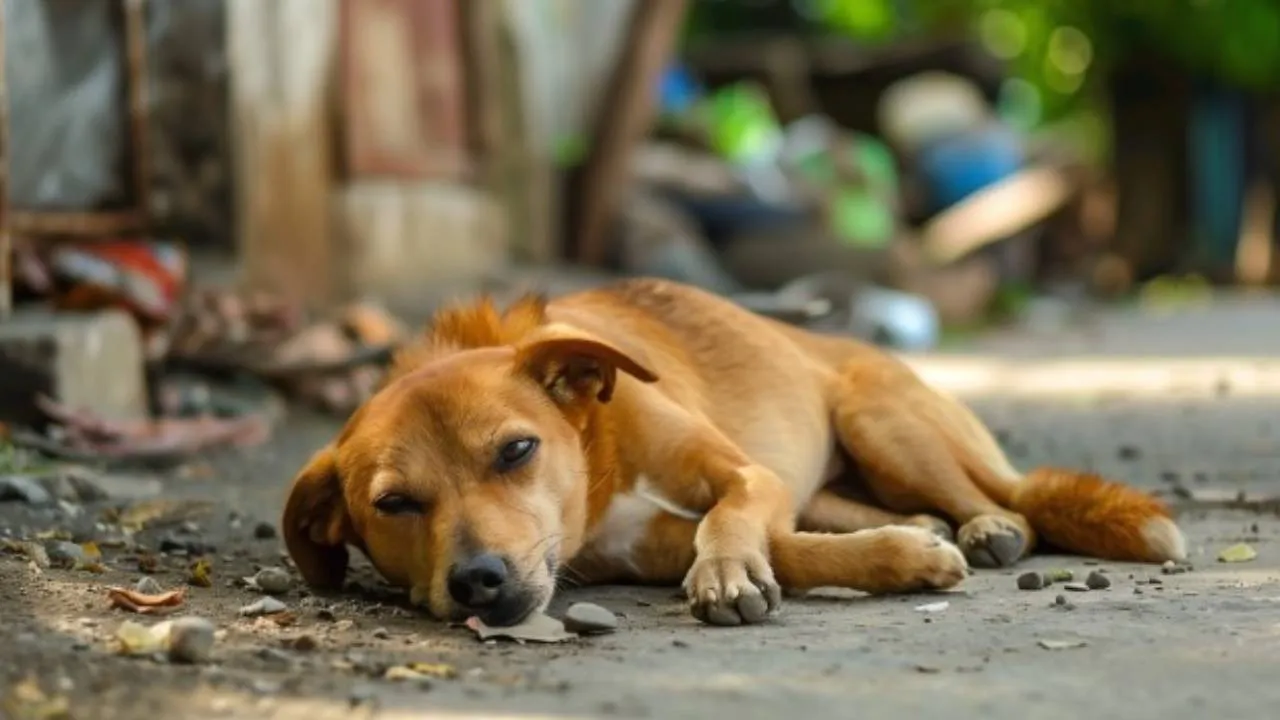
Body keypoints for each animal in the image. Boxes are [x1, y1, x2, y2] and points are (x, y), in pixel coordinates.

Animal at [282, 278, 1187, 625]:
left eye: (516, 451)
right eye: (394, 505)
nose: (478, 581)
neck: (599, 454)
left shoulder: (746, 476)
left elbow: (733, 520)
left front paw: (724, 574)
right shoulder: (641, 548)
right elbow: (791, 549)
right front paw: (902, 556)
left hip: (883, 422)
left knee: (1007, 501)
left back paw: (987, 527)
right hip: (839, 476)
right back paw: (931, 529)